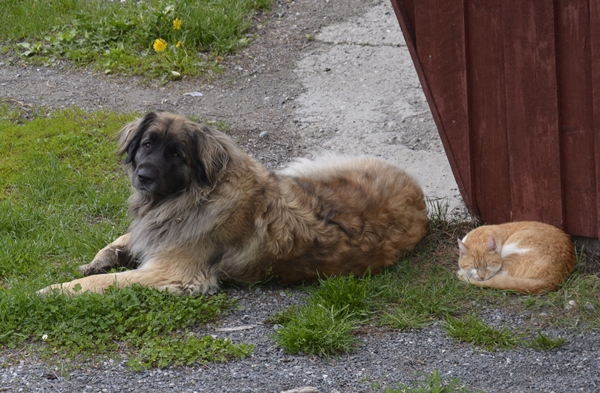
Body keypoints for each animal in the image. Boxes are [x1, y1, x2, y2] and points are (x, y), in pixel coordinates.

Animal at [38, 110, 426, 294]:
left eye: (176, 154)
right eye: (147, 144)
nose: (143, 176)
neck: (194, 195)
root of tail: (419, 194)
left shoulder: (171, 272)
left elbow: (107, 283)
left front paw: (54, 290)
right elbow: (122, 241)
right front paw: (96, 261)